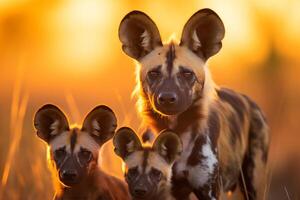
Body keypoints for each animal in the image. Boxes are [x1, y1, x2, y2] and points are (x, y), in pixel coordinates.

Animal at [118, 8, 270, 200]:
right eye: (153, 73)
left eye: (187, 74)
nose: (167, 98)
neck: (177, 131)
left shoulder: (209, 192)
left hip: (253, 185)